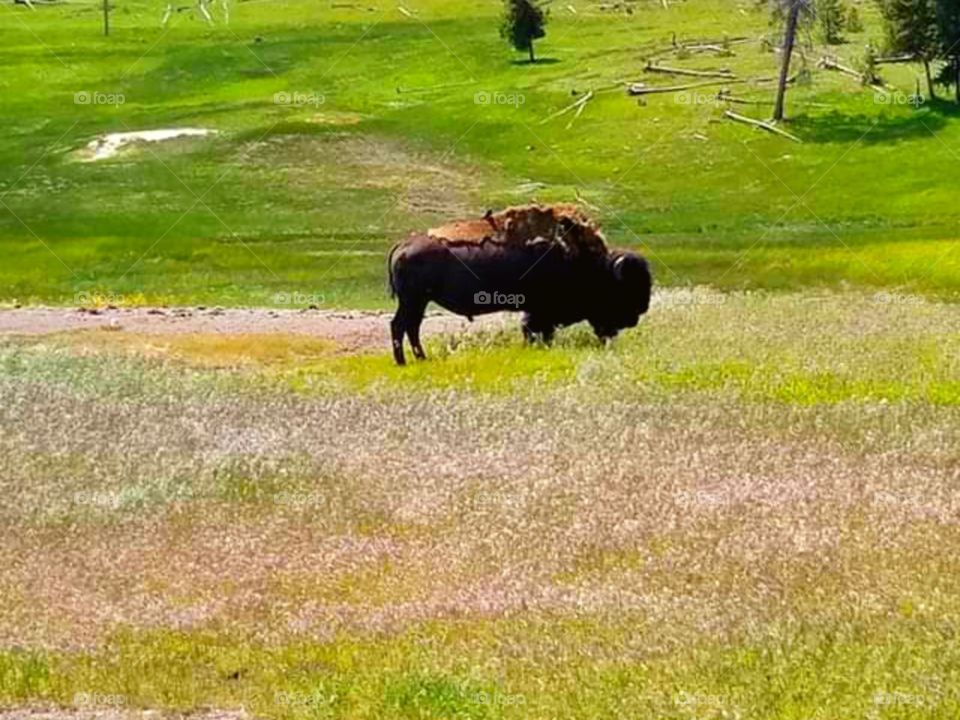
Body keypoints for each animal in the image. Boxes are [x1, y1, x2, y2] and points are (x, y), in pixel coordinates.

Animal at [386, 204, 652, 365]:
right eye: (624, 289)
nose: (638, 314)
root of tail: (403, 245)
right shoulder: (539, 311)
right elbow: (534, 329)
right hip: (413, 300)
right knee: (401, 326)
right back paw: (404, 362)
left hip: (418, 302)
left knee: (410, 326)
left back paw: (419, 359)